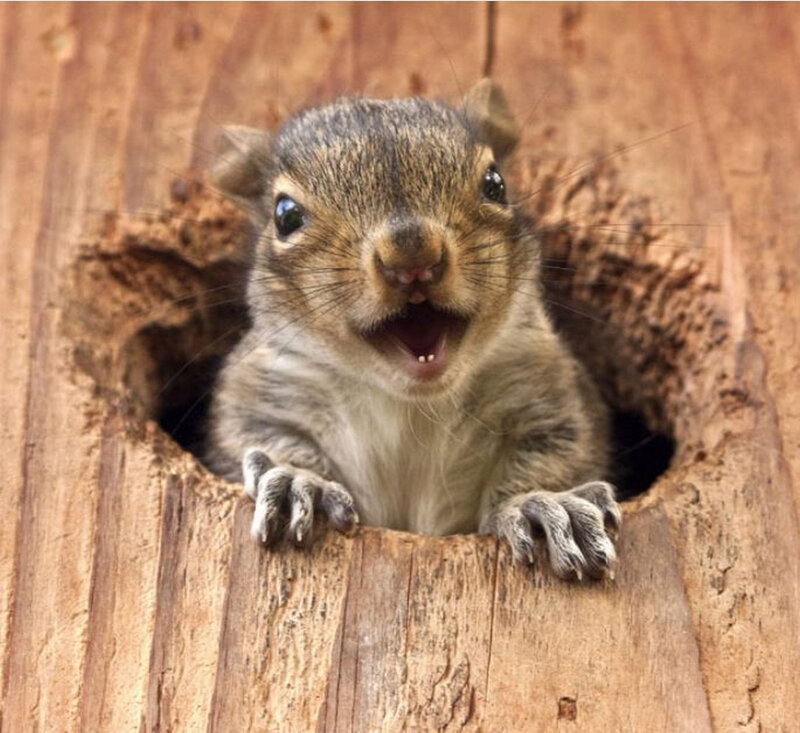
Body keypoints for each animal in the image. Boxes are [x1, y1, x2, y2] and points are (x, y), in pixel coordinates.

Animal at [205, 79, 621, 581]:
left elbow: (556, 456)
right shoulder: (263, 394)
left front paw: (539, 503)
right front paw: (300, 481)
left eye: (495, 184)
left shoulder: (550, 392)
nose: (412, 255)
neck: (411, 404)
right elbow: (258, 438)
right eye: (285, 215)